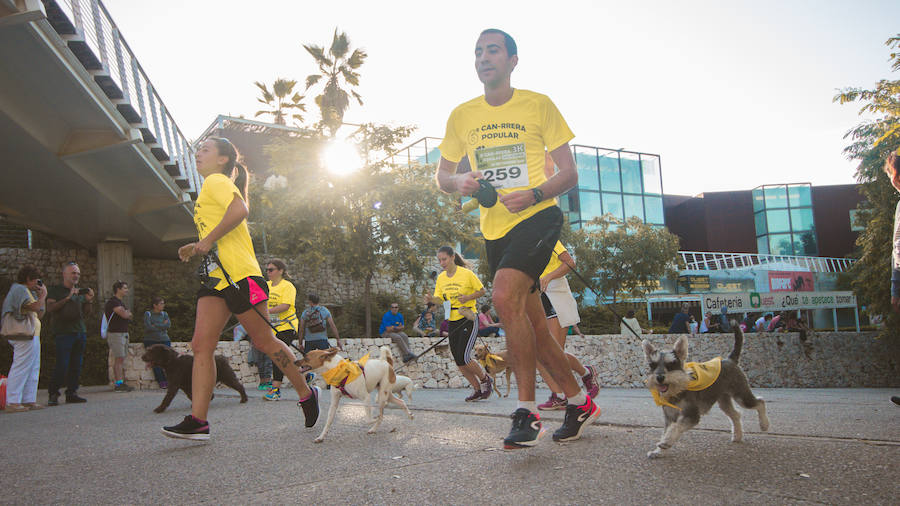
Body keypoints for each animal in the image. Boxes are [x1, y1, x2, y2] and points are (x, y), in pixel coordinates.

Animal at [644, 324, 768, 458]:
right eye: (652, 365)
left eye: (671, 365)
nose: (659, 377)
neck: (678, 389)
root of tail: (730, 360)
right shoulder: (669, 417)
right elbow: (667, 431)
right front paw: (659, 451)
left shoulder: (691, 415)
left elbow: (676, 427)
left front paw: (665, 443)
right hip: (724, 401)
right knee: (736, 414)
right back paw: (738, 436)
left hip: (741, 395)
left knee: (760, 402)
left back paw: (764, 424)